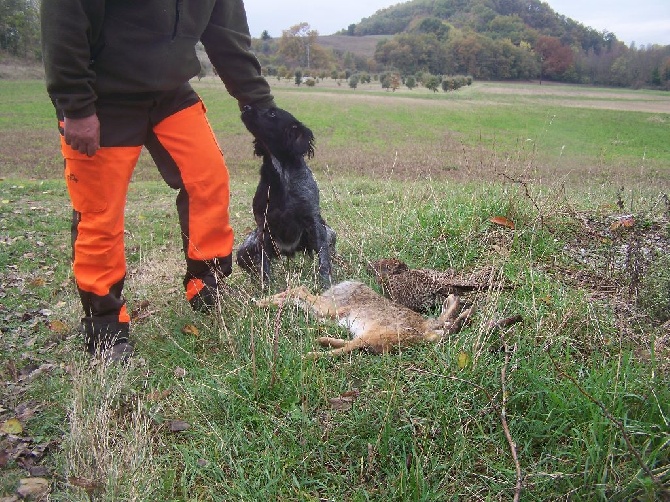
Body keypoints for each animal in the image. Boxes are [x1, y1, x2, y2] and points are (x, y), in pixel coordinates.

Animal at [239, 105, 338, 286]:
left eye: (272, 113)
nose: (246, 107)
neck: (280, 174)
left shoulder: (314, 222)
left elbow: (324, 262)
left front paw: (326, 285)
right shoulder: (263, 226)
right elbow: (264, 266)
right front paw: (266, 288)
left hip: (329, 234)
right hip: (244, 249)